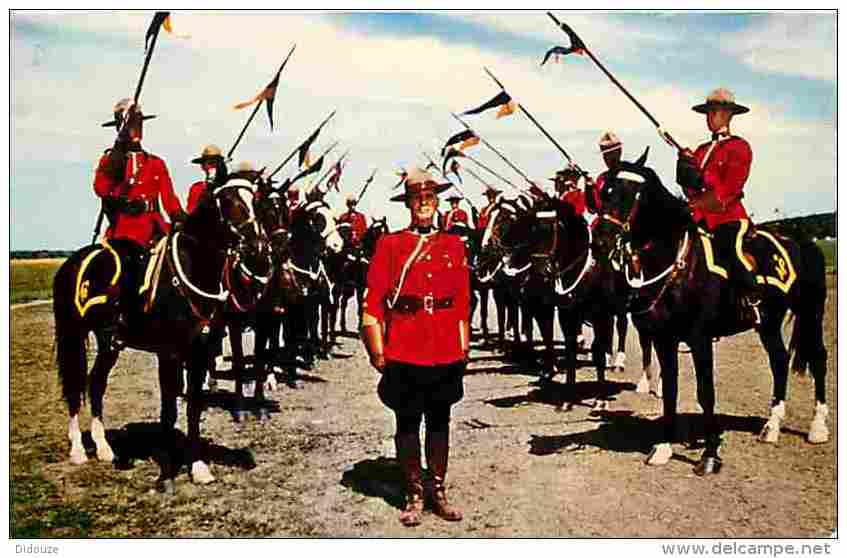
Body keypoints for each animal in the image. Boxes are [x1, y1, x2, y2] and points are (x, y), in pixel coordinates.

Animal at [52, 185, 262, 490]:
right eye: (231, 202)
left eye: (255, 200)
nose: (259, 248)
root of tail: (72, 261)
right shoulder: (169, 353)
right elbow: (169, 409)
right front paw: (168, 469)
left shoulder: (199, 353)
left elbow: (193, 406)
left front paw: (198, 467)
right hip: (72, 333)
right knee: (74, 385)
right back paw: (78, 450)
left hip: (108, 343)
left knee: (96, 383)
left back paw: (104, 448)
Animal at [604, 158, 828, 476]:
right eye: (606, 190)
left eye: (631, 192)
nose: (600, 237)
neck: (679, 265)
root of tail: (805, 242)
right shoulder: (664, 339)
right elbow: (670, 388)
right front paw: (663, 447)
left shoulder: (699, 339)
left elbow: (705, 392)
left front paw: (710, 456)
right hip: (768, 322)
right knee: (779, 360)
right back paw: (771, 426)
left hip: (811, 311)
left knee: (818, 359)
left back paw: (817, 428)